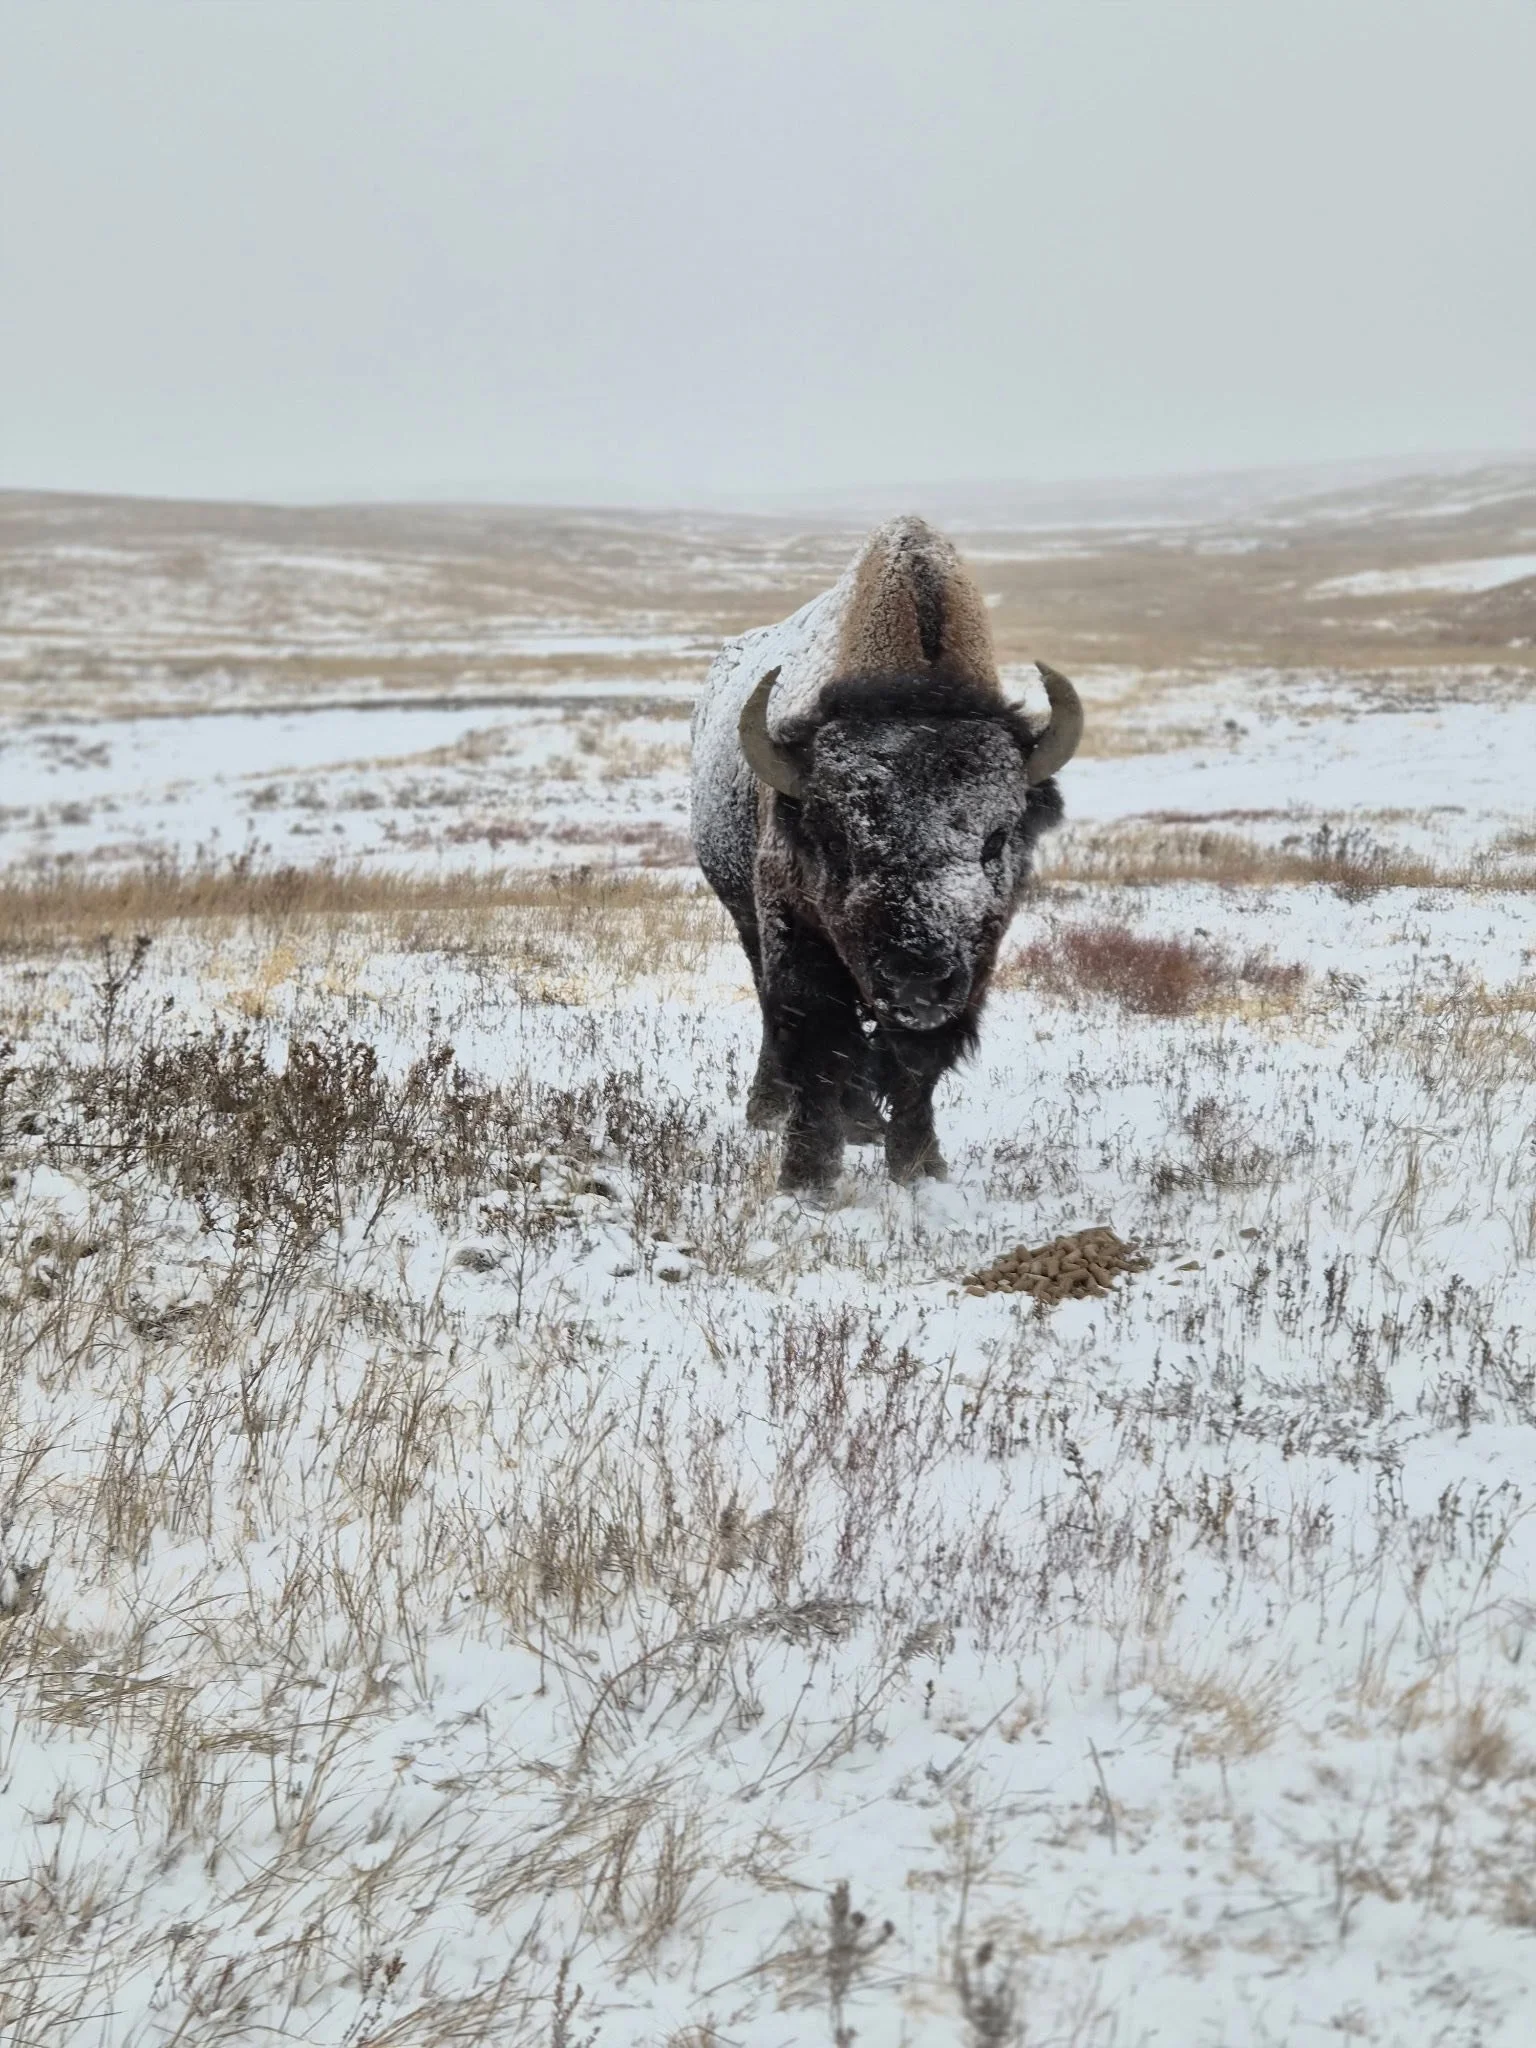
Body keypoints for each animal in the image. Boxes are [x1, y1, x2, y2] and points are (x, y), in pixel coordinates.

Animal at [691, 516, 1083, 1193]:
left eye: (997, 837)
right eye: (834, 837)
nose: (917, 978)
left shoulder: (974, 965)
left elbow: (913, 1065)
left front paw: (920, 1167)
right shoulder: (794, 930)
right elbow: (818, 1041)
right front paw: (808, 1180)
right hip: (743, 913)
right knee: (774, 1012)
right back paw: (774, 1110)